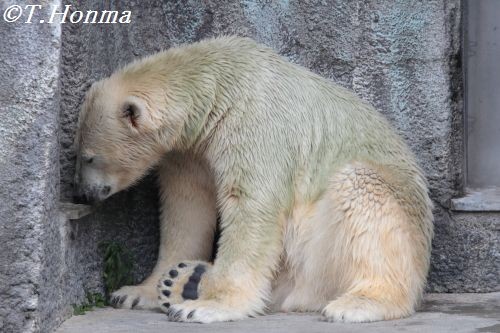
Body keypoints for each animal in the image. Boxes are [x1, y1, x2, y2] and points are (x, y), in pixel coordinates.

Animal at [74, 35, 434, 322]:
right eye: (78, 153)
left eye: (88, 156)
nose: (84, 194)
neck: (219, 88)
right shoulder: (190, 153)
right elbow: (186, 209)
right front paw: (135, 292)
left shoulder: (254, 125)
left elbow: (251, 207)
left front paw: (208, 307)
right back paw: (185, 280)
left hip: (344, 239)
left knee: (363, 195)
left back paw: (359, 302)